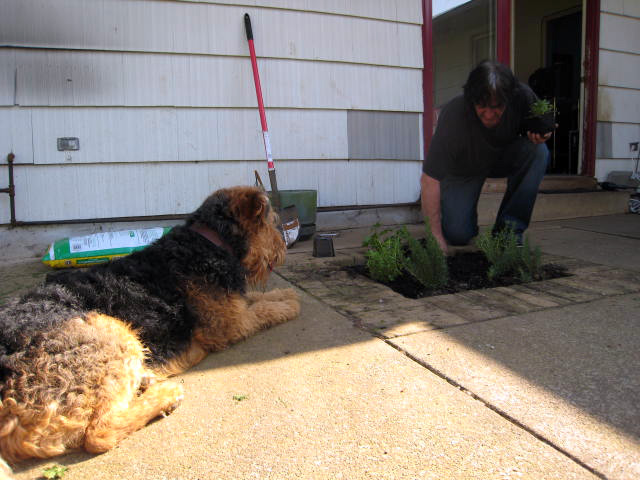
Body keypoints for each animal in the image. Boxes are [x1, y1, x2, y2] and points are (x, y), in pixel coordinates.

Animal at [0, 186, 300, 470]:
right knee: (99, 433)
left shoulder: (234, 305)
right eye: (272, 222)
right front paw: (291, 303)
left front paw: (286, 294)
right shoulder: (229, 323)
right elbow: (265, 310)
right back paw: (165, 395)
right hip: (113, 333)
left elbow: (260, 299)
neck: (208, 241)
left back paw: (147, 380)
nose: (283, 249)